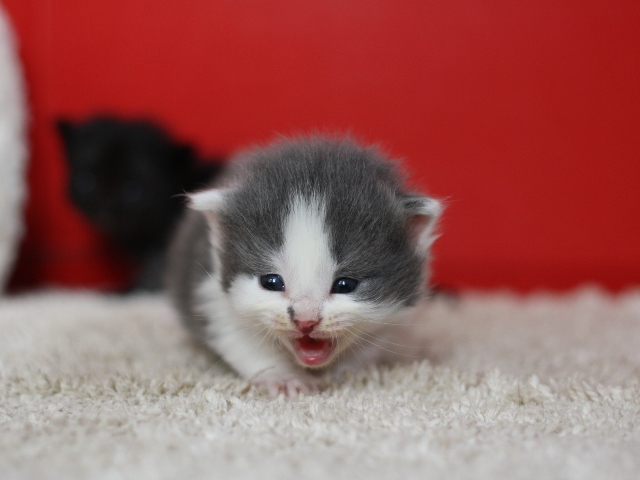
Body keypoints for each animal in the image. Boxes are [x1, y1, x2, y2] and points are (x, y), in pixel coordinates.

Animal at [168, 136, 442, 398]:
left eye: (345, 285)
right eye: (272, 282)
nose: (305, 321)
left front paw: (345, 373)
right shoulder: (212, 297)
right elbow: (242, 342)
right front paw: (284, 378)